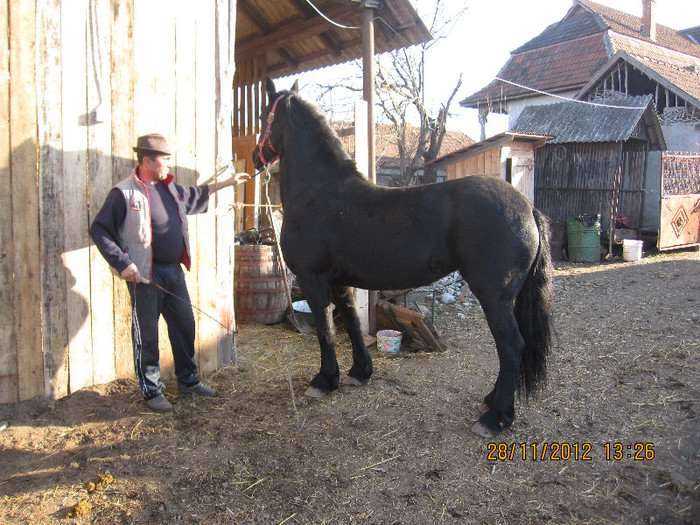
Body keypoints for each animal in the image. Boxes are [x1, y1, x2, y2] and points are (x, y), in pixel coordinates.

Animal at [252, 77, 552, 434]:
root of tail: (528, 207)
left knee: (511, 346)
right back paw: (492, 403)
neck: (319, 193)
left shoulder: (313, 281)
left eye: (262, 117)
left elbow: (326, 331)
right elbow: (351, 323)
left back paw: (495, 417)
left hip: (495, 296)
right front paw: (359, 373)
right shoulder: (339, 282)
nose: (254, 157)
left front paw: (324, 380)